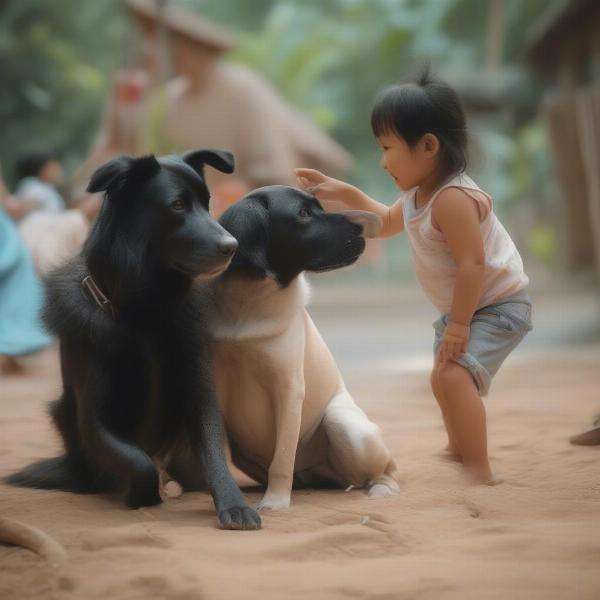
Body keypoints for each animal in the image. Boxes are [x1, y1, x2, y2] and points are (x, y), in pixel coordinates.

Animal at [6, 150, 260, 528]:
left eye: (207, 203)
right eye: (177, 205)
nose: (233, 246)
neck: (145, 314)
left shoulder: (198, 391)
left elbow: (214, 449)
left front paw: (234, 504)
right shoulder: (95, 421)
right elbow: (138, 461)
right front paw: (143, 498)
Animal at [210, 185, 398, 508]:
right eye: (304, 214)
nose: (363, 227)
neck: (247, 304)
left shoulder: (289, 389)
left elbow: (282, 459)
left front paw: (275, 503)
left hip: (344, 424)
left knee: (381, 470)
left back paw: (382, 488)